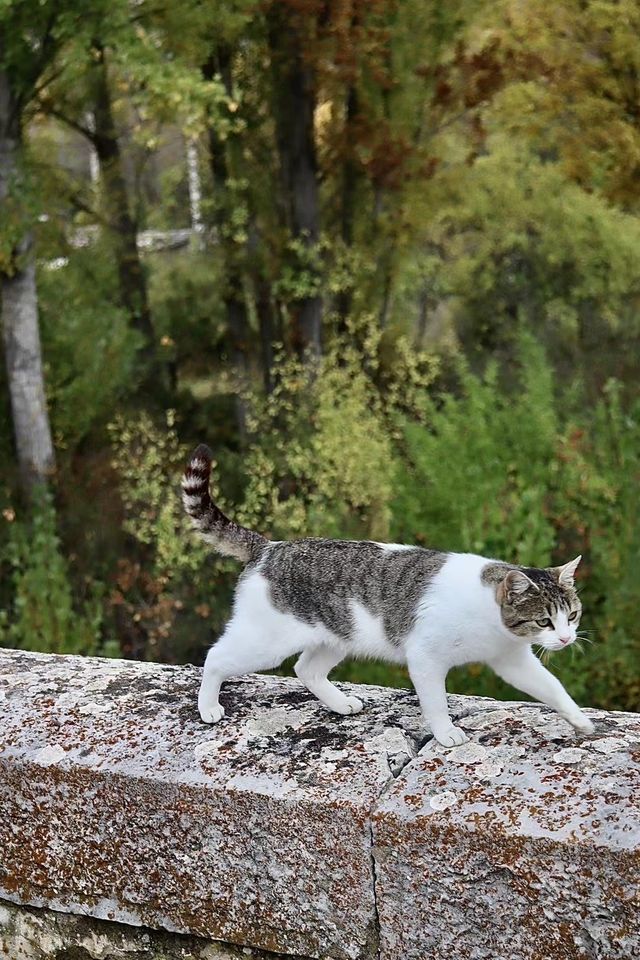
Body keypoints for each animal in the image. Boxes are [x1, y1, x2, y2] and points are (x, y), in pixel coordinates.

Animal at [181, 444, 596, 752]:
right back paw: (209, 707)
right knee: (216, 657)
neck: (492, 622)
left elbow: (552, 688)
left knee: (306, 669)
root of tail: (269, 547)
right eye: (544, 620)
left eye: (572, 615)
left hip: (336, 637)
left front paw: (579, 720)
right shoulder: (426, 658)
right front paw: (446, 734)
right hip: (266, 642)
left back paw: (341, 704)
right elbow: (436, 702)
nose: (566, 639)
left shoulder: (512, 660)